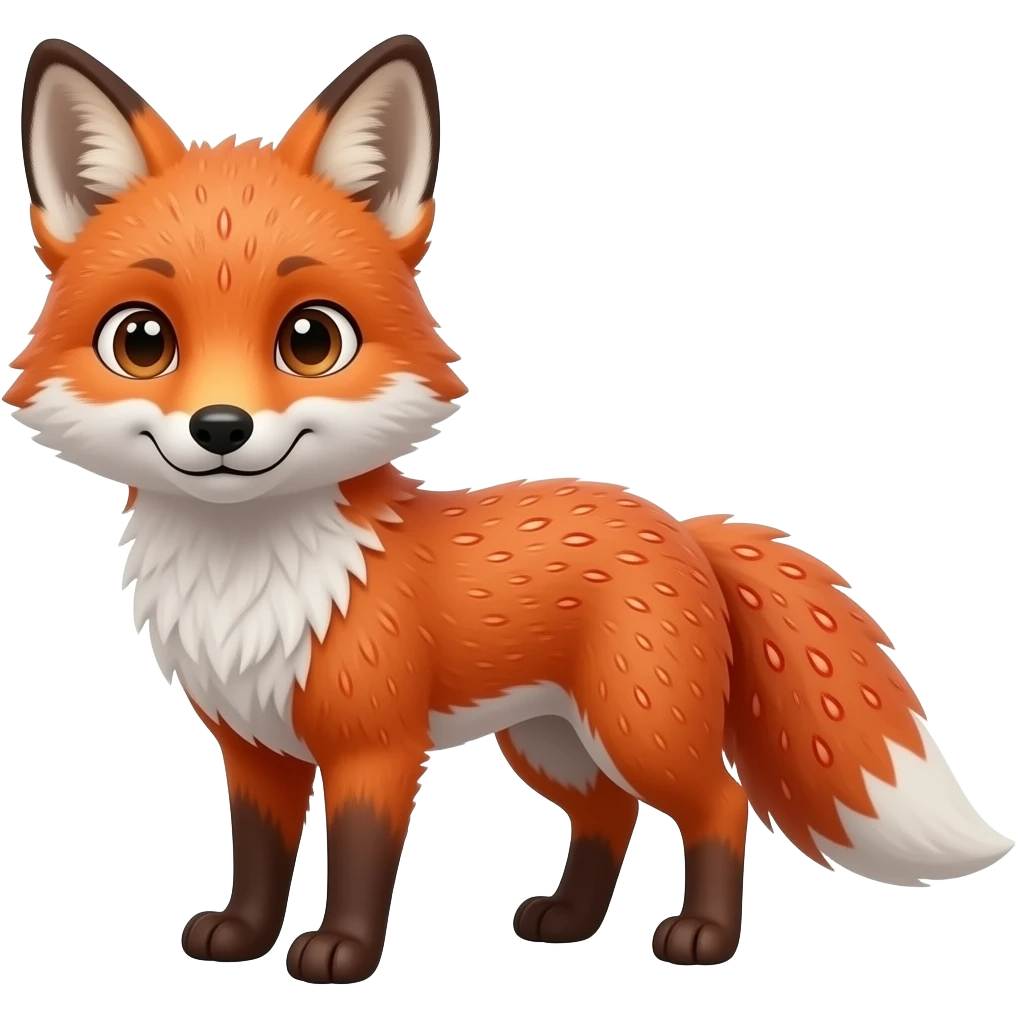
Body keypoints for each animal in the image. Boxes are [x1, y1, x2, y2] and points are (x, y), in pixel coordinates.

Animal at [8, 33, 1014, 984]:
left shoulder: (377, 747)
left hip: (636, 726)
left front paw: (341, 953)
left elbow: (360, 862)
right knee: (611, 813)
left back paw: (702, 937)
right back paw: (568, 922)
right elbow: (258, 857)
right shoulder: (255, 747)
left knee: (718, 803)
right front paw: (243, 937)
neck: (247, 580)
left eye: (311, 339)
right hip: (550, 743)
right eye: (143, 341)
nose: (222, 428)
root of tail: (681, 526)